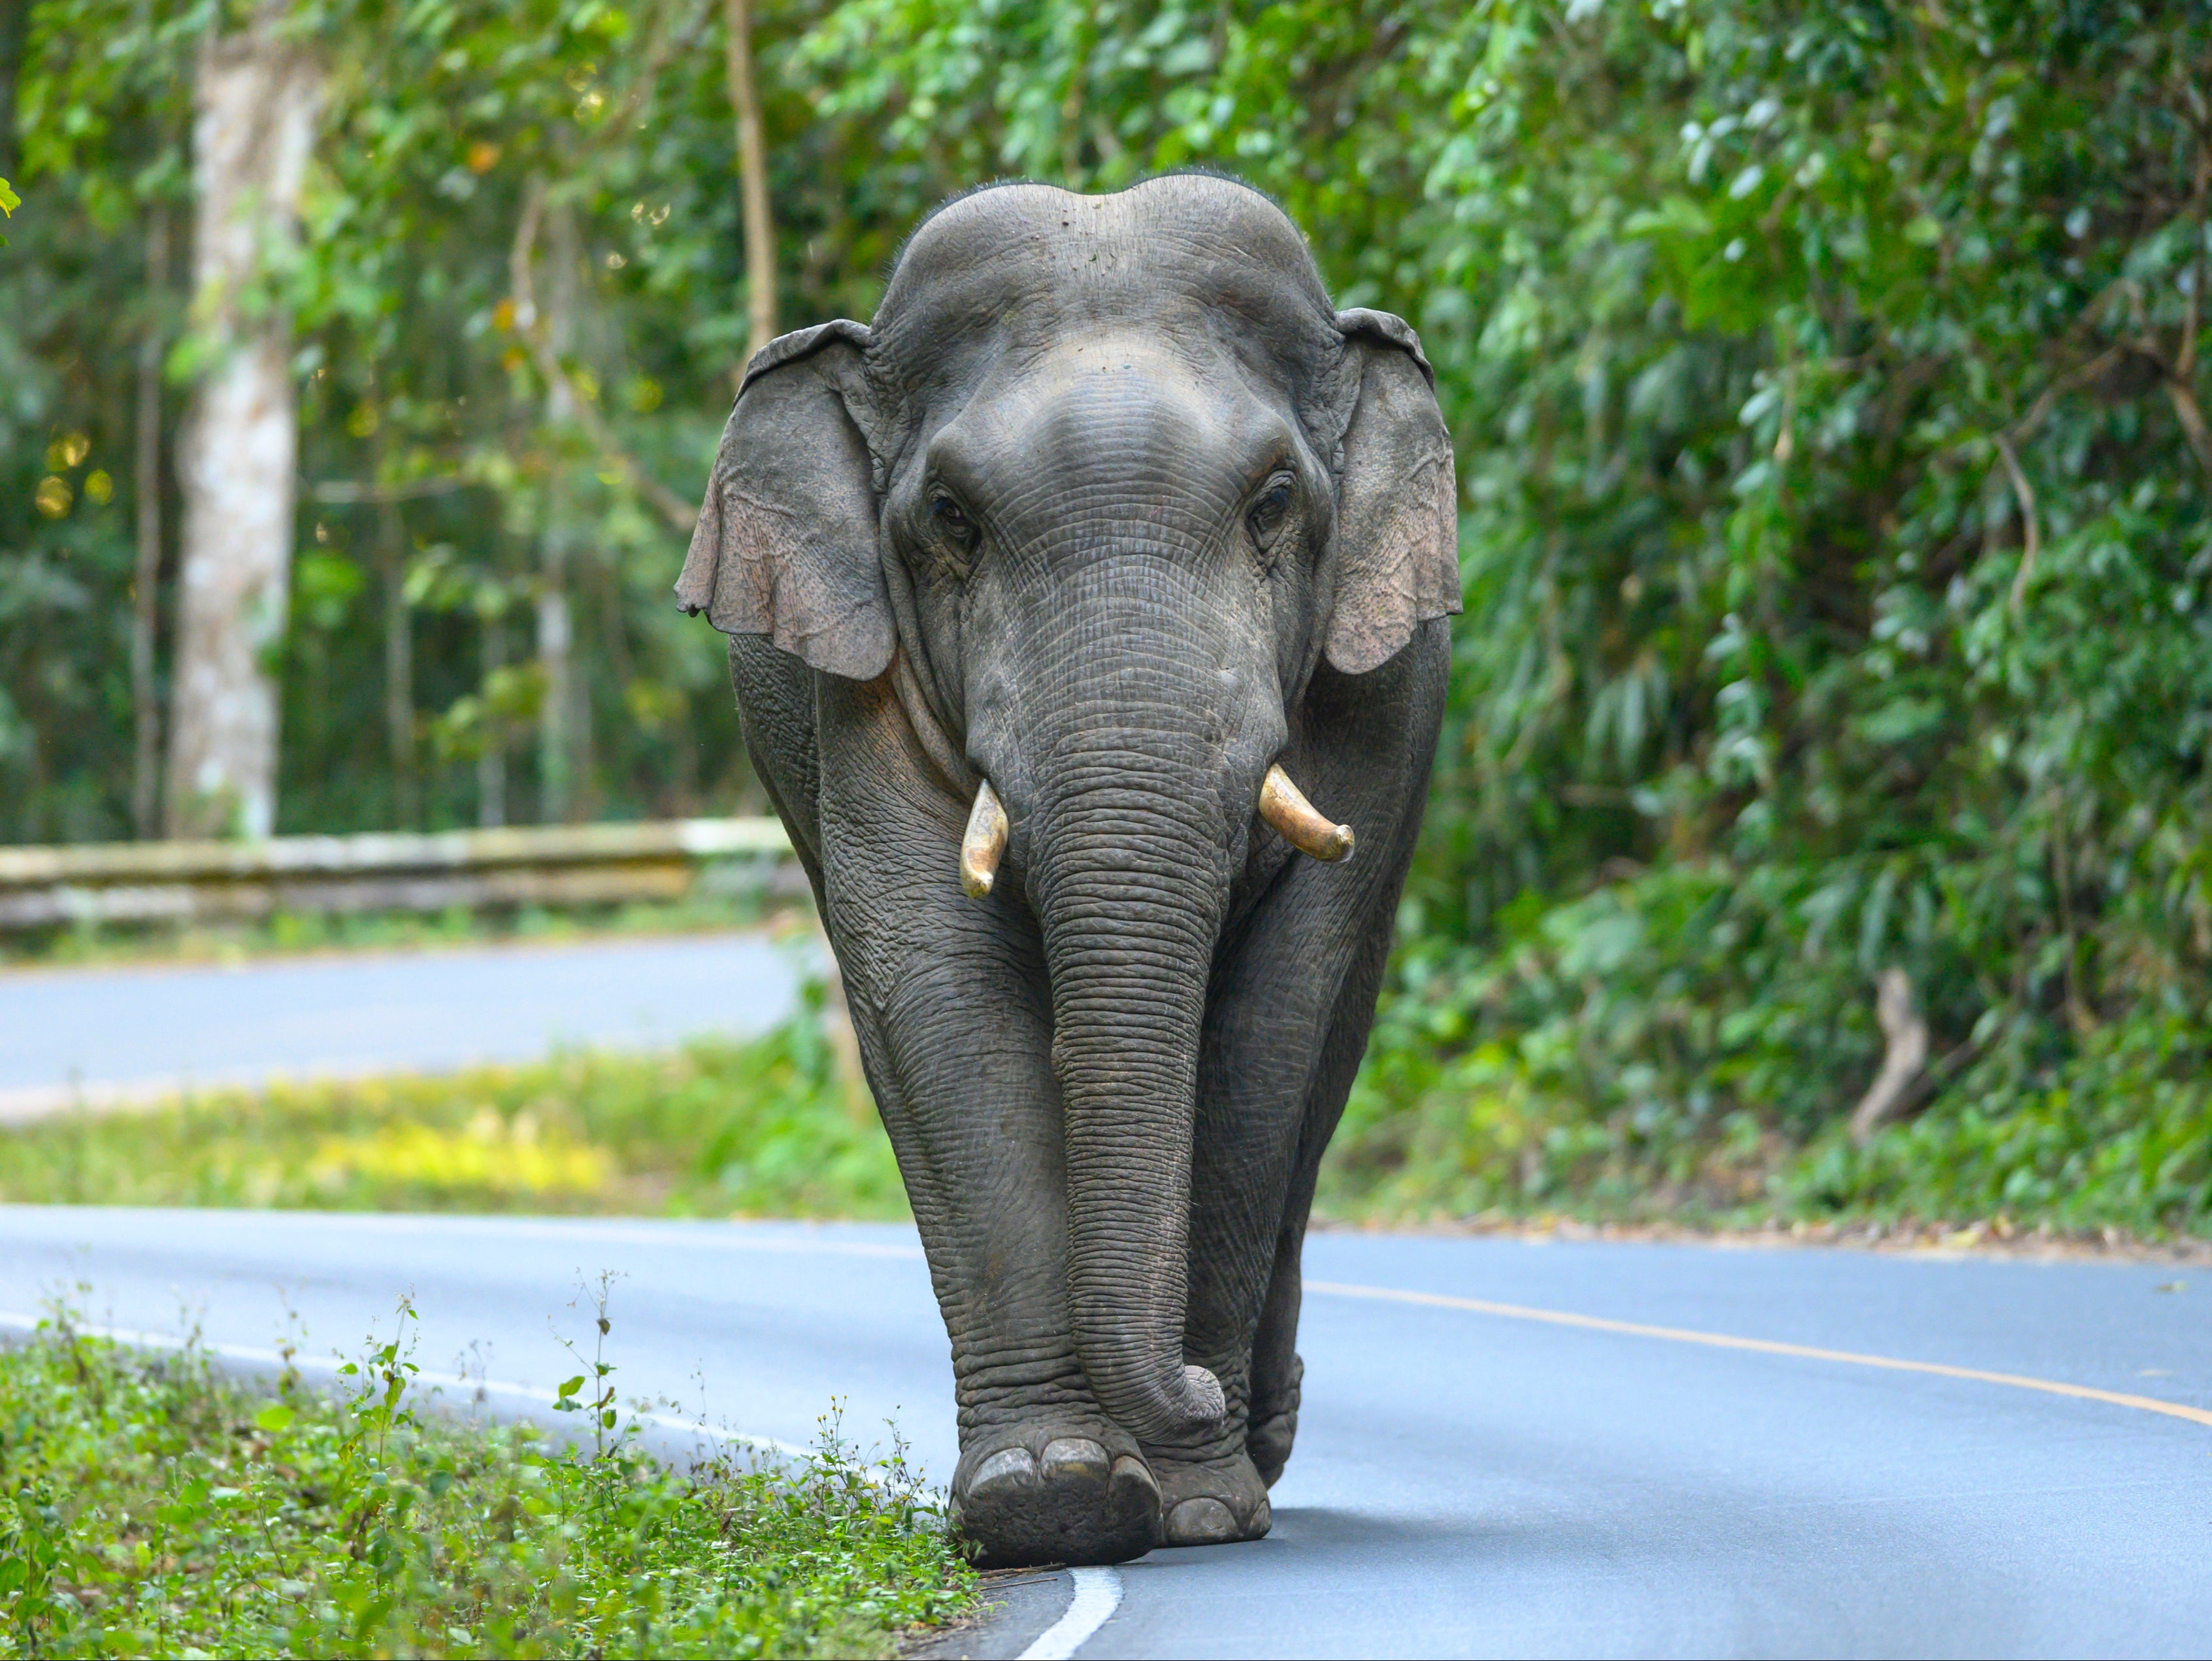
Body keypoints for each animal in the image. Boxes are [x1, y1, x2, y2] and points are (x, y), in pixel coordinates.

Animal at [677, 174, 1457, 1566]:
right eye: (952, 520)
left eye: (1274, 504)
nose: (1190, 1385)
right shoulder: (859, 687)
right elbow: (936, 983)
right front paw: (1053, 1496)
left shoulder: (1383, 693)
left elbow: (1274, 1014)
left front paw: (1199, 1502)